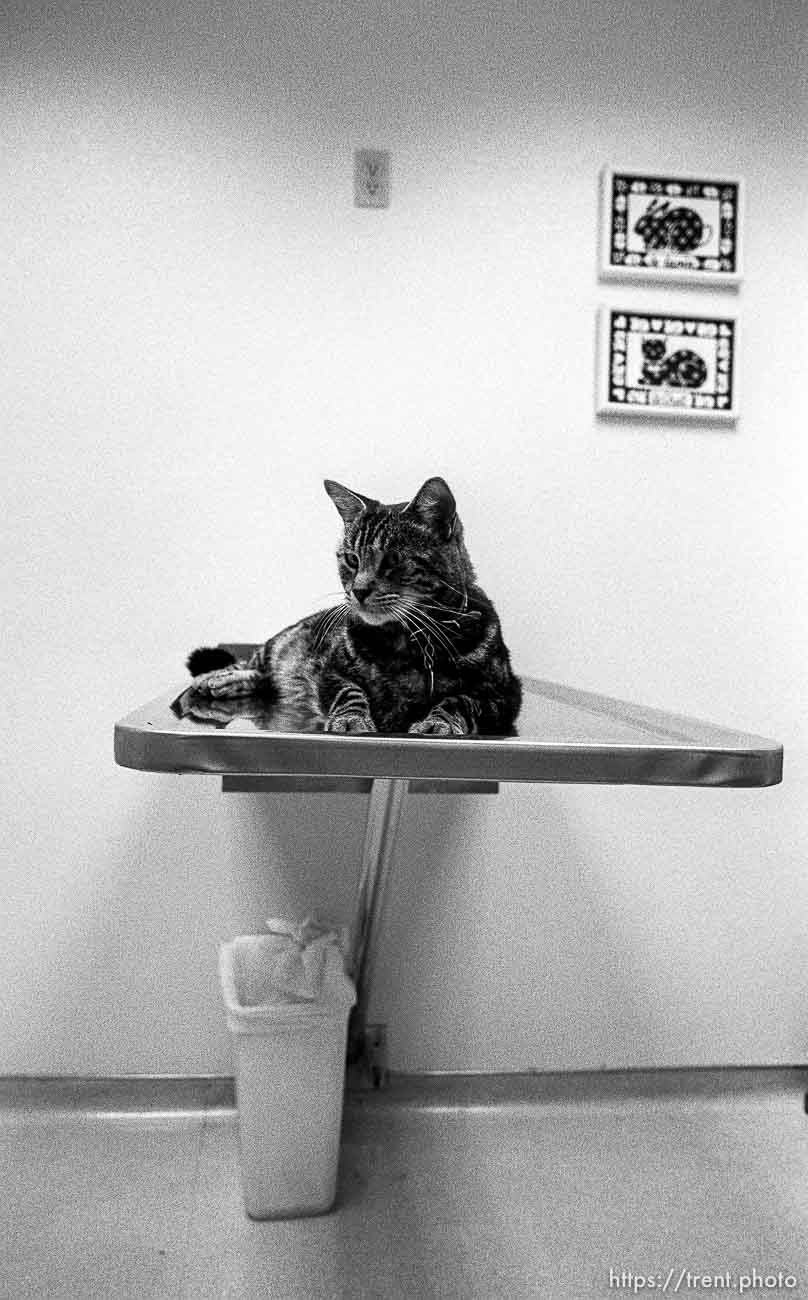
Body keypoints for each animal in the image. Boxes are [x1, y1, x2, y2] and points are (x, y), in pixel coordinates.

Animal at [185, 480, 524, 743]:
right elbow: (349, 692)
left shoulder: (502, 693)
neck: (406, 643)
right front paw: (351, 720)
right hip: (281, 644)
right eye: (351, 559)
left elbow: (459, 700)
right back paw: (218, 678)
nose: (358, 591)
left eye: (393, 560)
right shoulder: (330, 672)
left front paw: (437, 721)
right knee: (252, 661)